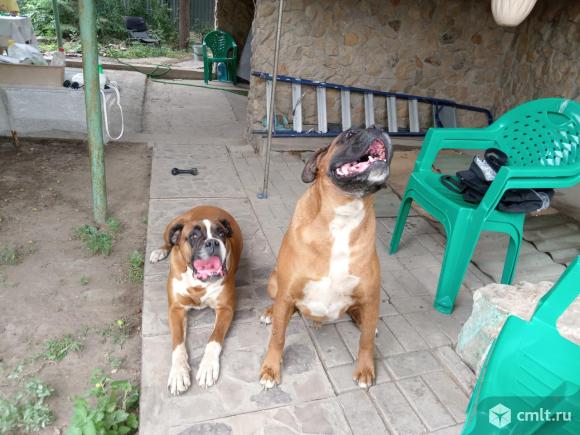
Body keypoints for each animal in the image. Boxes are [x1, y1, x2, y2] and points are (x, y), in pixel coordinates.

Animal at [149, 205, 242, 395]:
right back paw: (159, 251)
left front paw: (207, 367)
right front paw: (178, 373)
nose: (213, 242)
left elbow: (214, 339)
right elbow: (178, 344)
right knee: (168, 242)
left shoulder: (226, 309)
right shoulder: (176, 310)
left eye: (221, 233)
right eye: (194, 236)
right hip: (171, 226)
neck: (199, 283)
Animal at [259, 126, 393, 389]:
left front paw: (365, 369)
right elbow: (278, 336)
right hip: (274, 282)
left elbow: (366, 342)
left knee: (361, 317)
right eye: (349, 133)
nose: (378, 128)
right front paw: (270, 369)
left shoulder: (371, 295)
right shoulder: (286, 293)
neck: (344, 215)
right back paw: (270, 312)